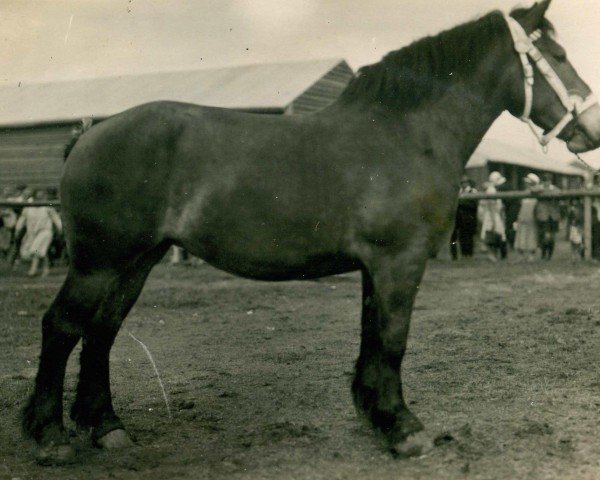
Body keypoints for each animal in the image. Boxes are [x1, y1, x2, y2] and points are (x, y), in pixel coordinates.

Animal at [21, 0, 600, 464]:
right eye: (559, 55)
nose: (590, 131)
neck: (406, 133)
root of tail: (90, 134)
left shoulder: (377, 267)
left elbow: (372, 338)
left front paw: (375, 416)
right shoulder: (399, 261)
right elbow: (393, 339)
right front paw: (404, 430)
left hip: (136, 261)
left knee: (102, 332)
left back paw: (106, 428)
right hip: (99, 262)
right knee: (62, 327)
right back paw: (50, 436)